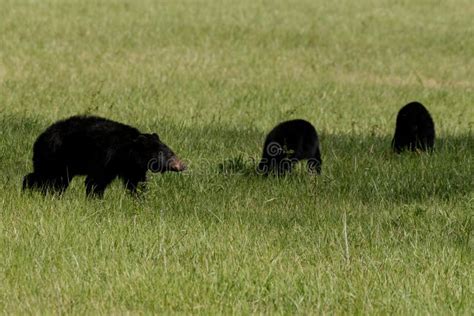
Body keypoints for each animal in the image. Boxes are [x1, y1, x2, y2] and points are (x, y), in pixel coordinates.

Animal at [23, 113, 185, 198]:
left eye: (171, 151)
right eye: (166, 154)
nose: (182, 165)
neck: (127, 153)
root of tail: (40, 138)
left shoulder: (132, 167)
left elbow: (136, 182)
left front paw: (140, 198)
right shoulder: (107, 158)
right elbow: (96, 181)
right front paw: (95, 199)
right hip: (55, 157)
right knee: (45, 177)